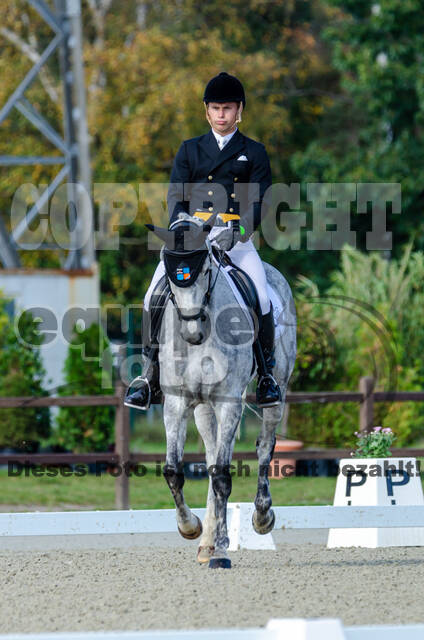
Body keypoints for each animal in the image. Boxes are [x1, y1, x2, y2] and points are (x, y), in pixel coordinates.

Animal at [146, 216, 294, 568]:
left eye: (204, 271)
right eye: (171, 279)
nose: (192, 332)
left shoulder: (229, 402)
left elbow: (224, 476)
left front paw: (224, 550)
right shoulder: (176, 403)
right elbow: (174, 471)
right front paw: (190, 528)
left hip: (277, 391)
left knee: (264, 448)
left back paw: (261, 517)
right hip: (202, 408)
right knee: (212, 457)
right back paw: (206, 544)